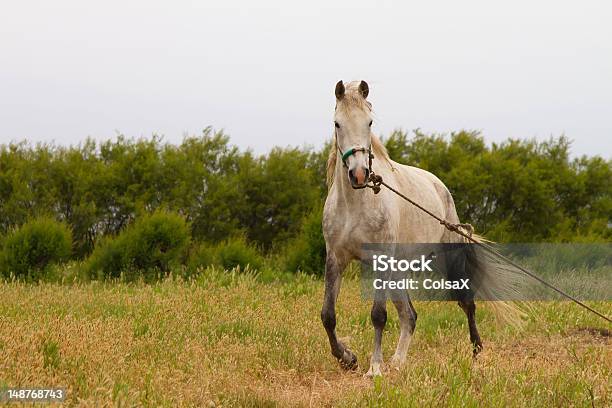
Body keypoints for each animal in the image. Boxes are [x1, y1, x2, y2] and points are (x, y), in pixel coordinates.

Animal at [320, 79, 516, 376]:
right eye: (337, 123)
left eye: (369, 122)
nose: (359, 175)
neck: (356, 204)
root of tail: (439, 186)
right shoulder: (335, 259)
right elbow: (328, 316)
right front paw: (348, 358)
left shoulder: (381, 260)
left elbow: (378, 315)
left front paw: (374, 369)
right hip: (399, 270)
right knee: (409, 315)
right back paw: (398, 363)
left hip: (448, 260)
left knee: (466, 303)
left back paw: (475, 352)